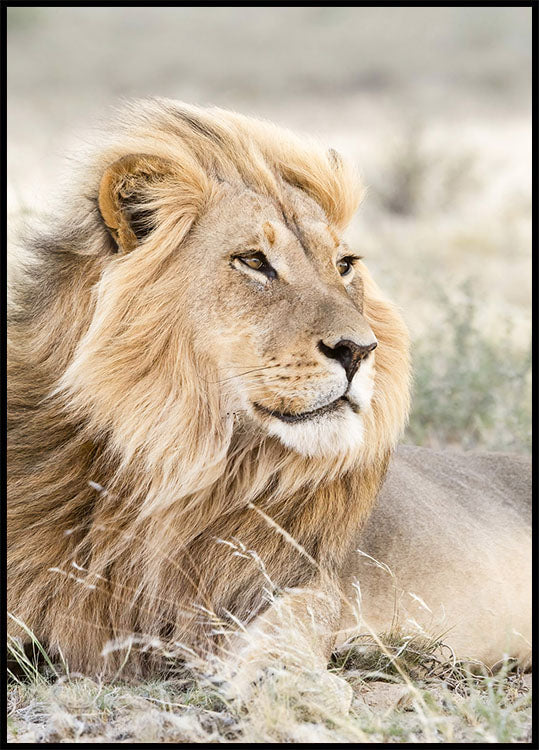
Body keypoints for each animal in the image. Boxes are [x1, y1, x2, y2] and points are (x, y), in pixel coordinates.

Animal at [8, 99, 531, 695]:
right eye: (254, 261)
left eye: (343, 265)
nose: (359, 349)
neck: (173, 462)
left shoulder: (294, 581)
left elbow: (289, 627)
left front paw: (295, 684)